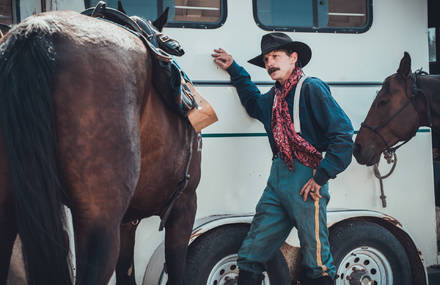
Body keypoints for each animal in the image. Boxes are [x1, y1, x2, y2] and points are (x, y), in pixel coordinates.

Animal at [0, 9, 201, 284]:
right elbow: (177, 268)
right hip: (100, 223)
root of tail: (39, 29)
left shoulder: (128, 221)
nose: (176, 47)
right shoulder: (185, 204)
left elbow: (126, 271)